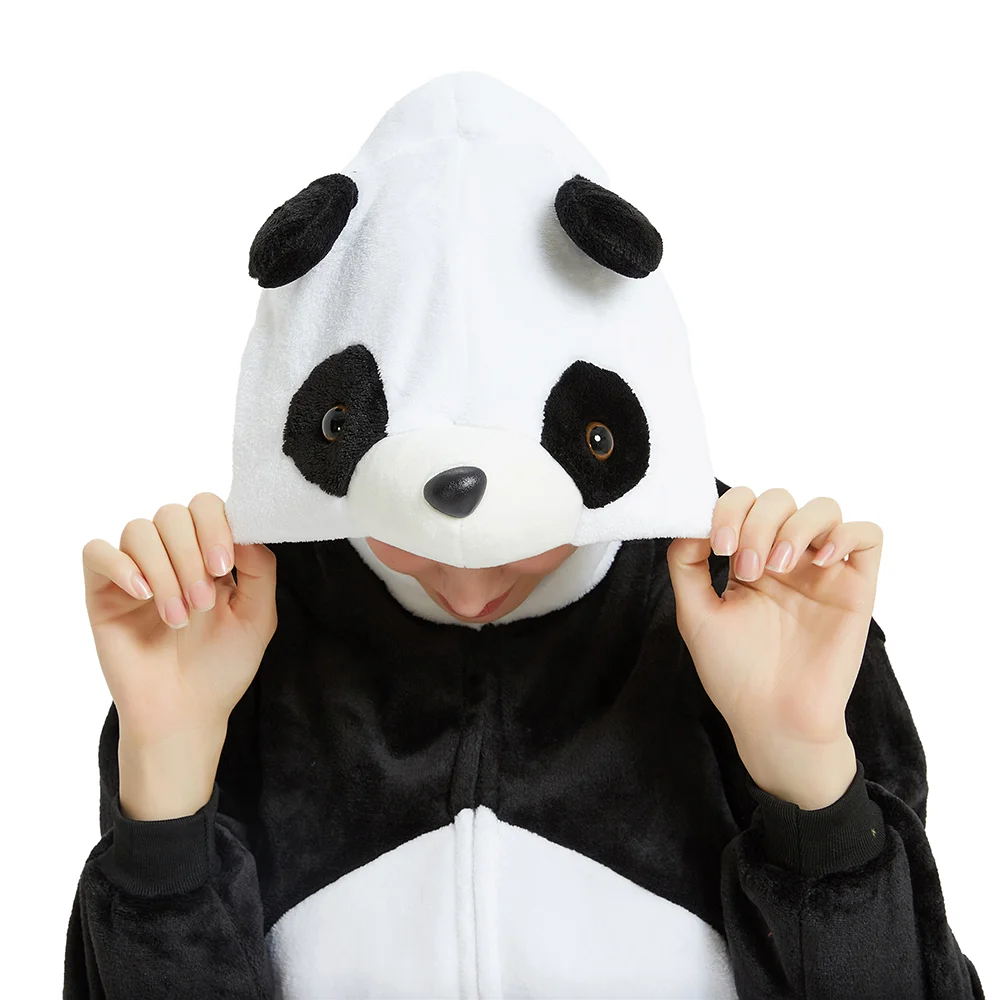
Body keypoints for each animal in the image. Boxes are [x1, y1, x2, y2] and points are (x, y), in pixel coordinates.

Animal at [65, 71, 983, 1000]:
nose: (458, 484)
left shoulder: (869, 690)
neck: (484, 649)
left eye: (600, 438)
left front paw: (780, 610)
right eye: (333, 422)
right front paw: (182, 602)